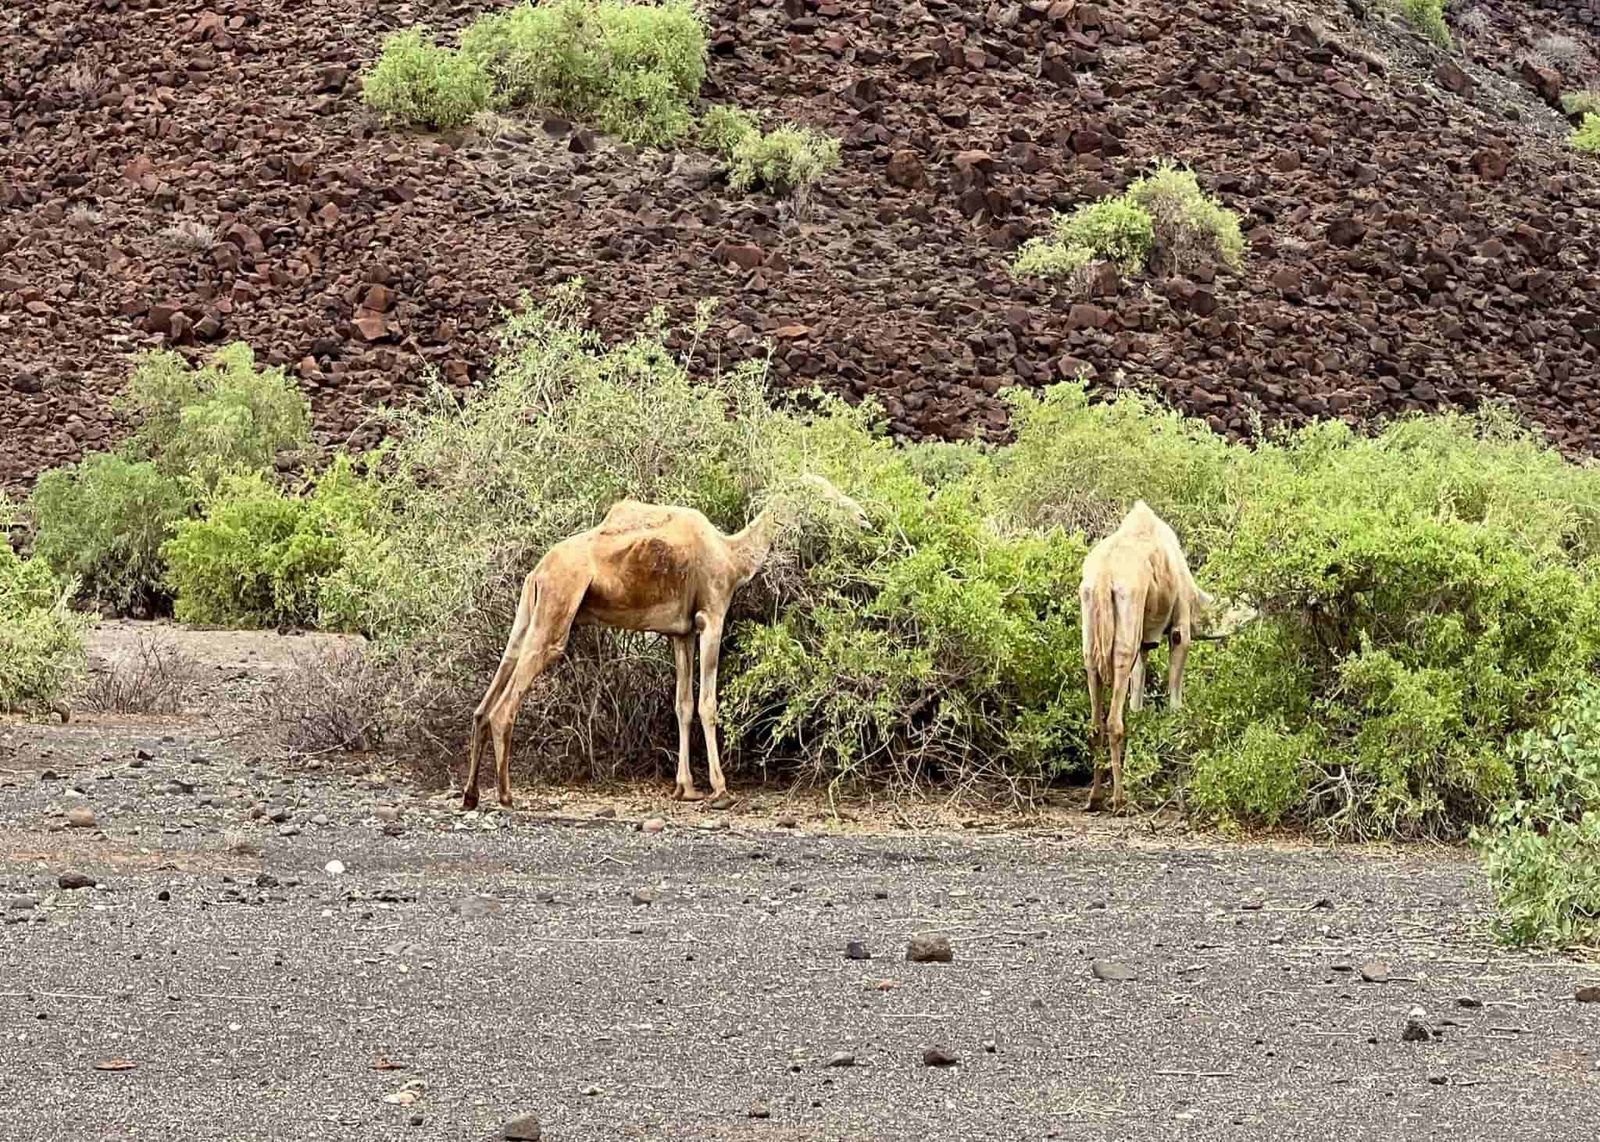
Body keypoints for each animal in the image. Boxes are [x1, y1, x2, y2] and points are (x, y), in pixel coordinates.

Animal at [464, 473, 870, 809]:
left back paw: (471, 794)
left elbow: (683, 704)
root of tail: (537, 572)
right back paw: (506, 796)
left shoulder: (681, 632)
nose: (863, 517)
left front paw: (685, 788)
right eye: (822, 492)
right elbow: (707, 704)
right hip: (556, 610)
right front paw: (720, 790)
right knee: (506, 706)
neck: (732, 557)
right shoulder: (712, 619)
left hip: (530, 614)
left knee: (488, 699)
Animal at [1081, 499, 1254, 809]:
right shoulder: (1180, 628)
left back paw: (1095, 797)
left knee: (1095, 714)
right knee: (1113, 715)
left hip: (1089, 624)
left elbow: (1137, 702)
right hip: (1128, 612)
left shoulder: (1145, 643)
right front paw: (1180, 792)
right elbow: (1176, 704)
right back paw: (1119, 800)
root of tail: (1103, 577)